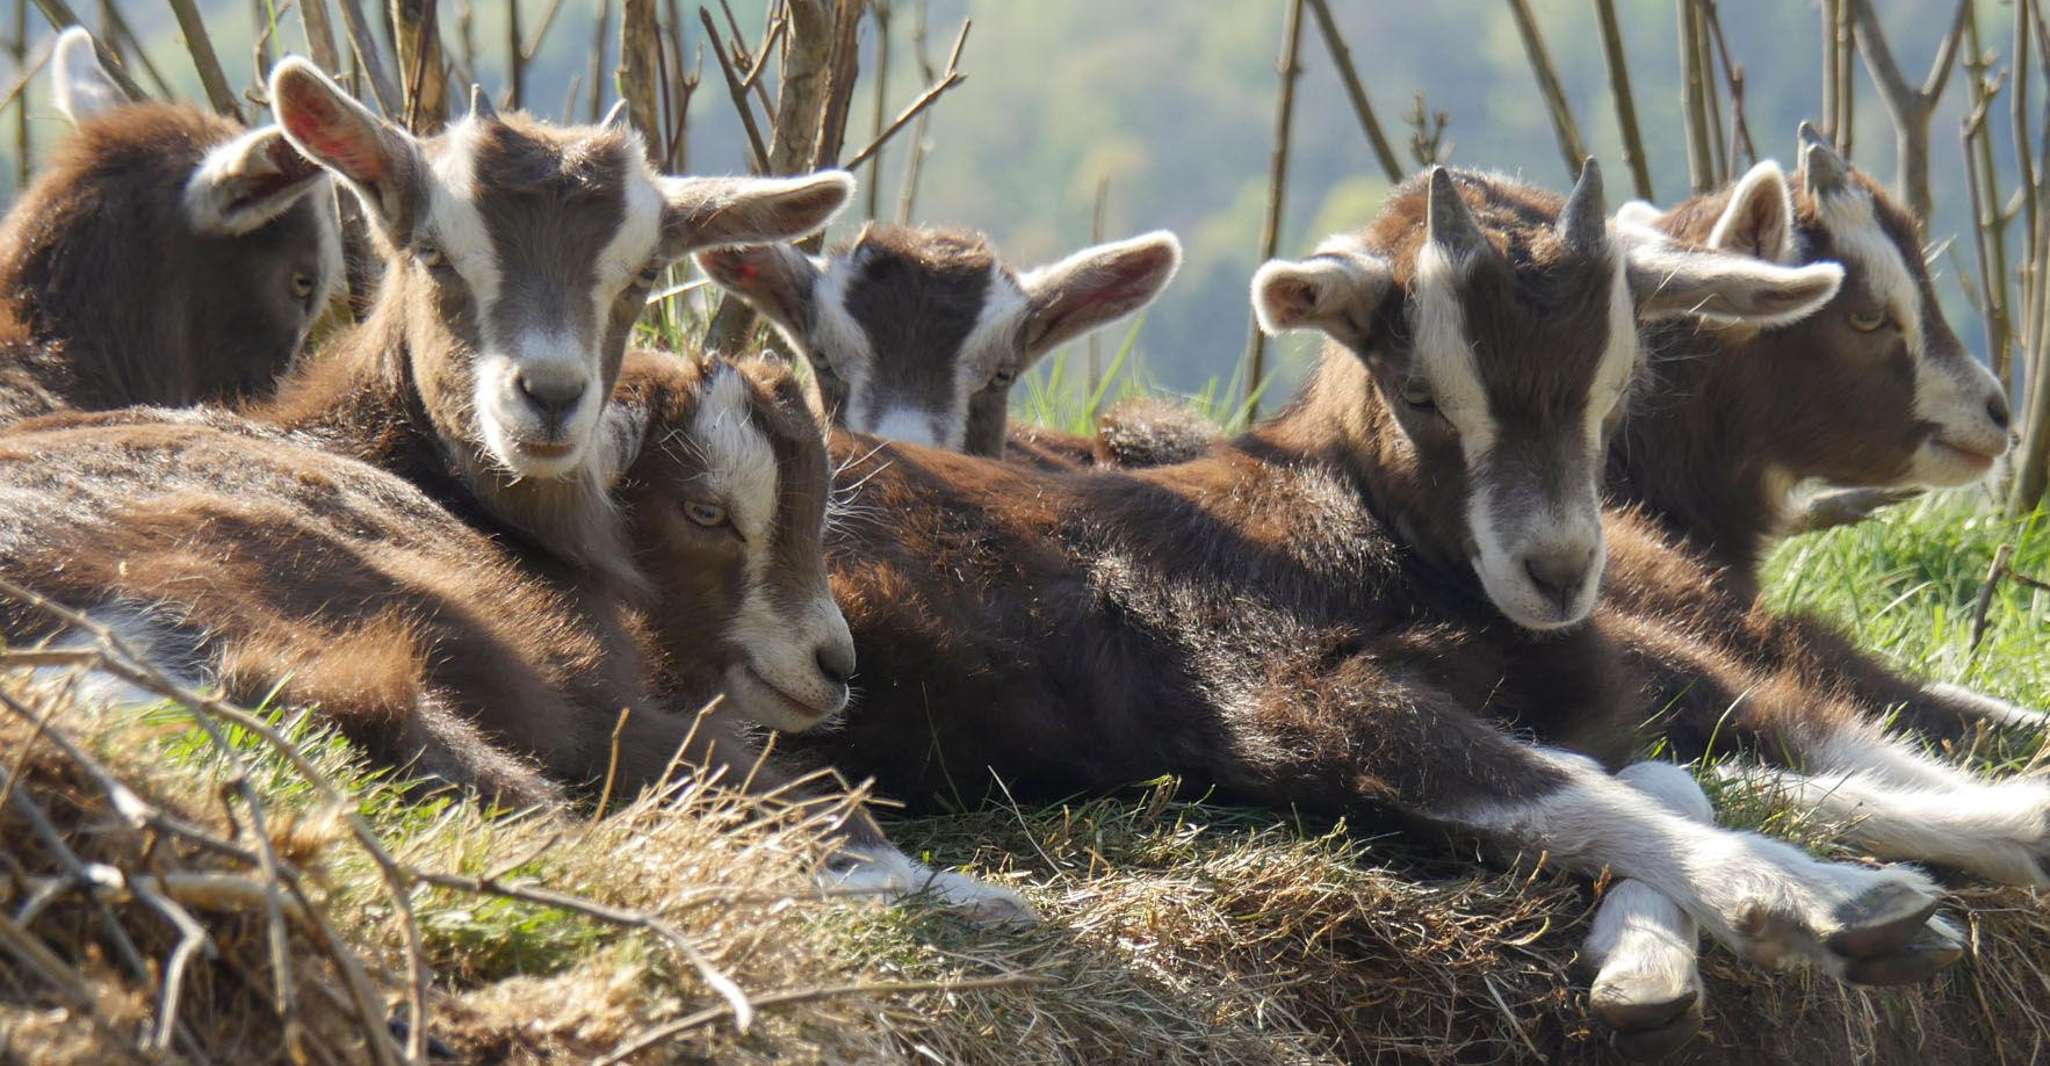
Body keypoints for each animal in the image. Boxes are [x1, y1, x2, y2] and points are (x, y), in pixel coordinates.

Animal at [787, 165, 1977, 994]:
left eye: (1614, 382)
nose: (1557, 570)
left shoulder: (1586, 692)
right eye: (1422, 394)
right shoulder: (1276, 685)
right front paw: (1818, 901)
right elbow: (1558, 786)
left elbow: (1663, 768)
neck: (1338, 525)